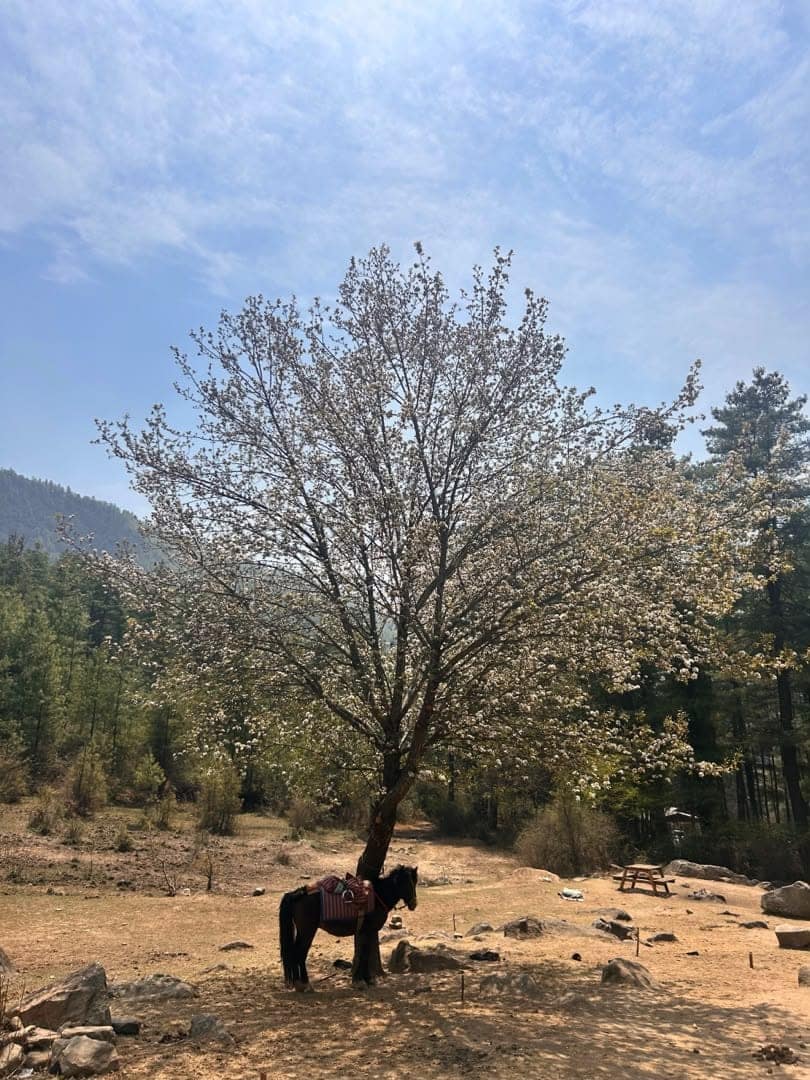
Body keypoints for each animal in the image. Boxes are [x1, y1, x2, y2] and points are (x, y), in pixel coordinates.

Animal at [279, 865, 418, 990]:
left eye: (415, 882)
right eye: (407, 883)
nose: (414, 904)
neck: (378, 896)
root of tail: (298, 893)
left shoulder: (365, 932)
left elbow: (363, 953)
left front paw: (365, 979)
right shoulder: (368, 930)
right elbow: (364, 954)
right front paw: (362, 981)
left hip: (302, 931)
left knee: (295, 952)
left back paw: (298, 984)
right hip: (307, 930)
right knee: (300, 953)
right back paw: (305, 984)